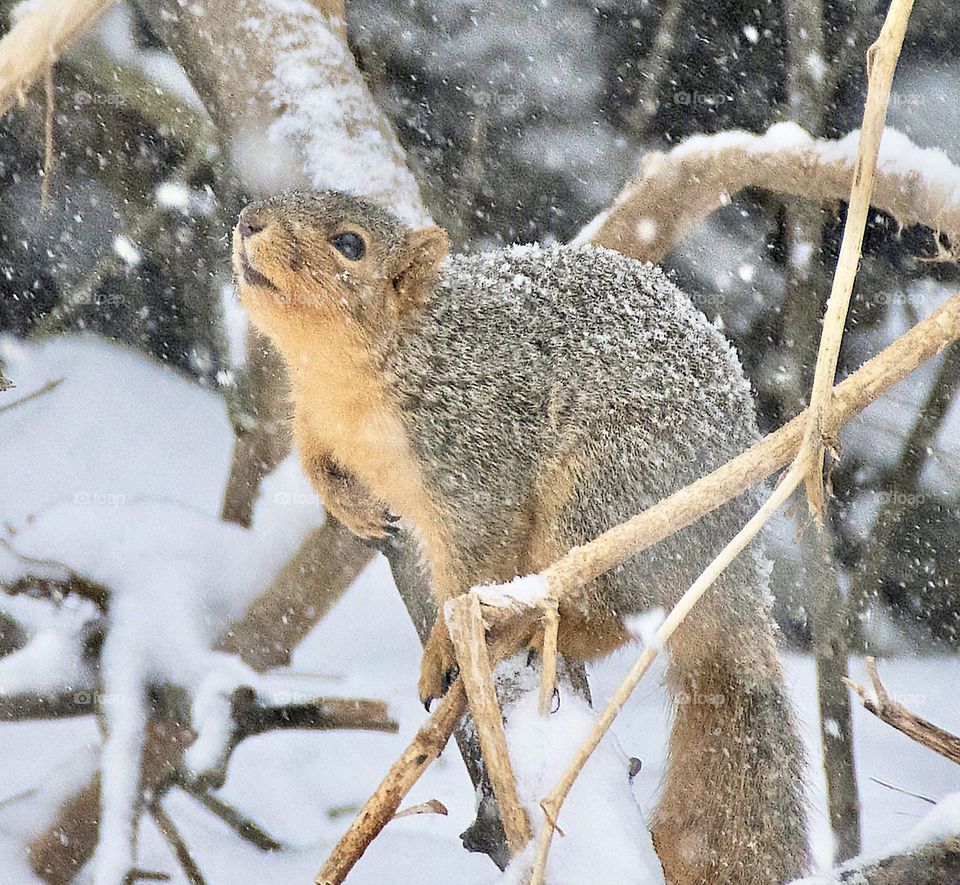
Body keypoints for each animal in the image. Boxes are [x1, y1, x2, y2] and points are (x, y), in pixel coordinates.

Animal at [232, 193, 808, 884]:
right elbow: (313, 460)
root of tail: (731, 558)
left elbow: (476, 560)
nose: (248, 220)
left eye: (350, 244)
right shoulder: (316, 421)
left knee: (613, 614)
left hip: (604, 493)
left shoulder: (477, 459)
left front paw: (444, 649)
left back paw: (537, 631)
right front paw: (353, 509)